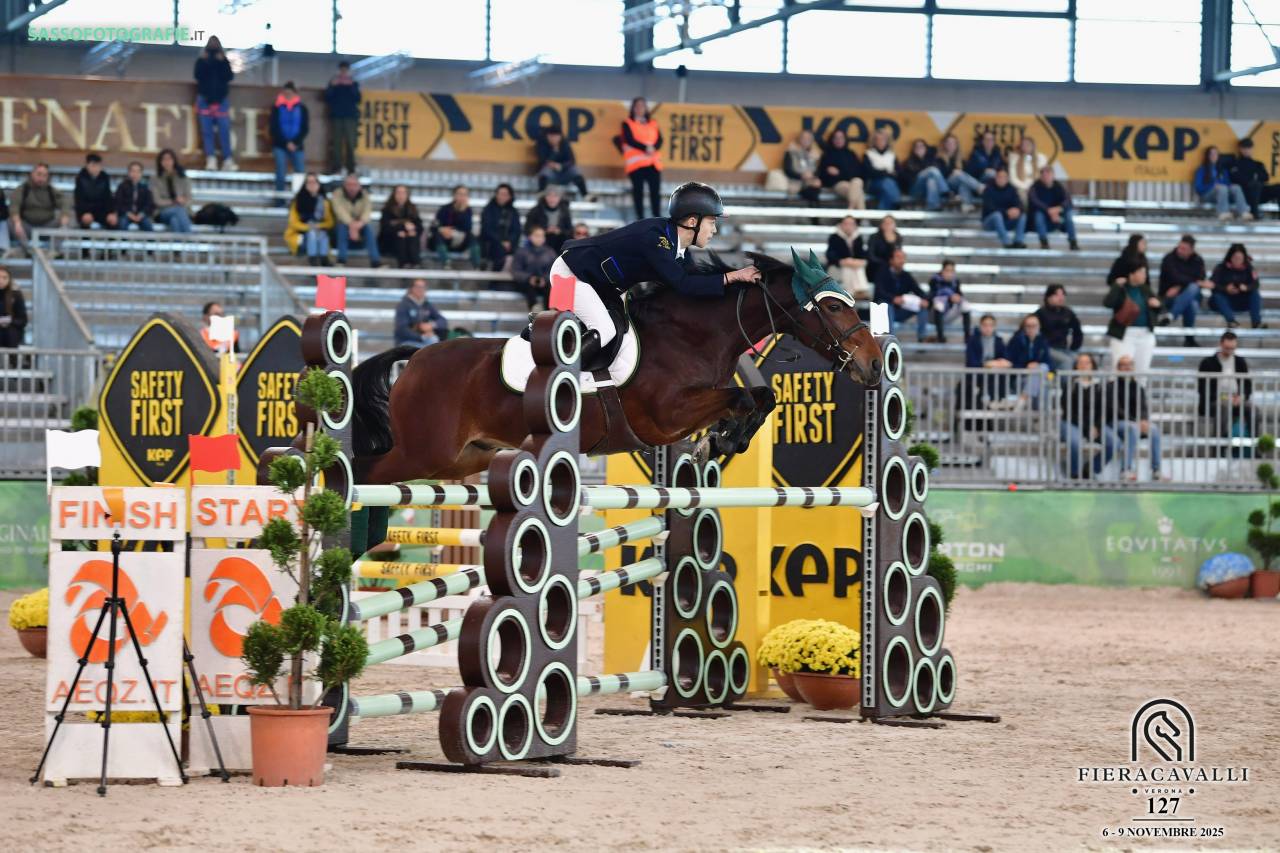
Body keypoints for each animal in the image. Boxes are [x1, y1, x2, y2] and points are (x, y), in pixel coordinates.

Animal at [351, 250, 883, 483]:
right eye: (831, 307)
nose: (874, 366)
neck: (692, 335)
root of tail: (415, 358)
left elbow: (762, 396)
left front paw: (721, 442)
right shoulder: (666, 415)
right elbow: (740, 396)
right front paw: (716, 441)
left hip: (468, 457)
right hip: (425, 453)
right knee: (365, 471)